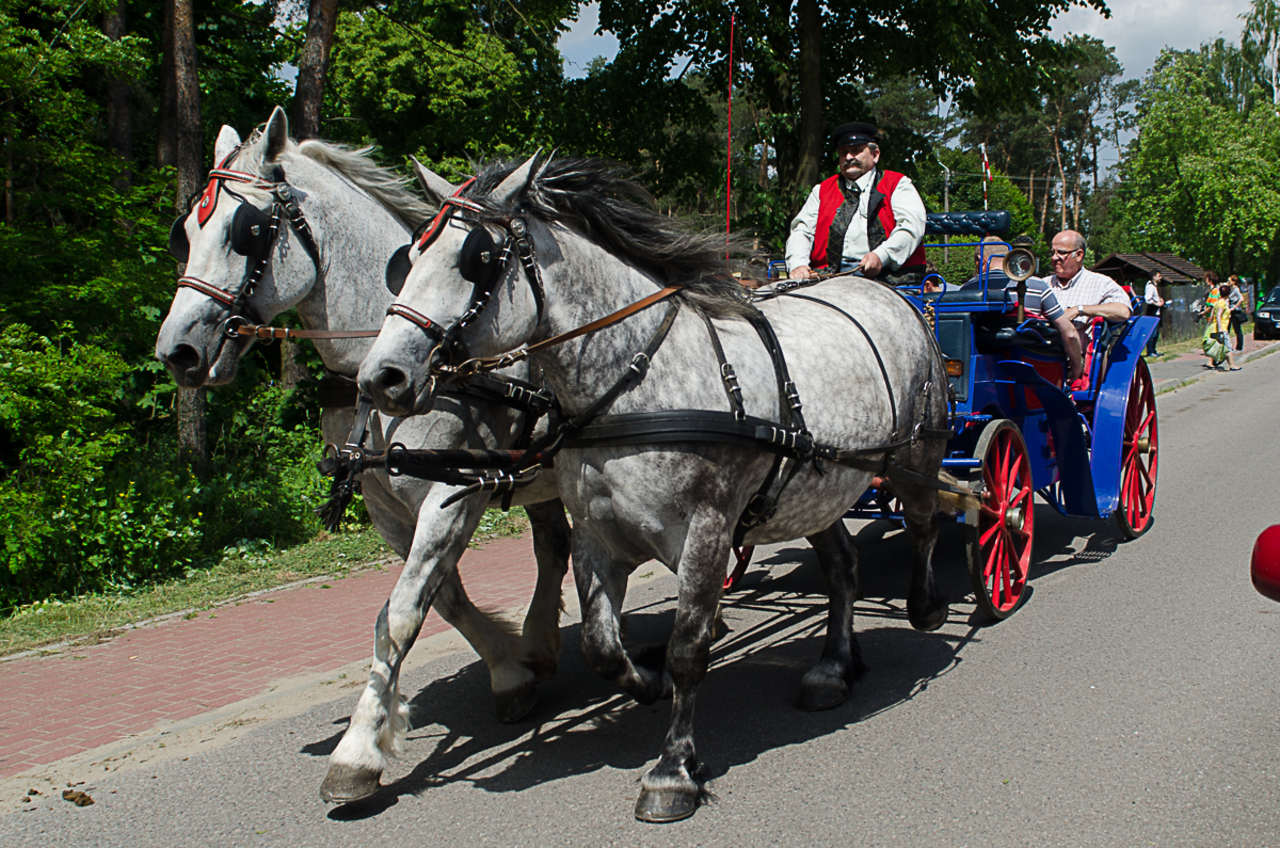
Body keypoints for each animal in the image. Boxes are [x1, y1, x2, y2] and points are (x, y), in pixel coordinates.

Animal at [151, 109, 570, 809]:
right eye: (186, 232)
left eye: (247, 230)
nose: (177, 352)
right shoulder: (388, 511)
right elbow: (439, 600)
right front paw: (510, 672)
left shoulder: (453, 494)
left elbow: (400, 614)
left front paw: (356, 753)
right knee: (554, 550)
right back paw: (540, 644)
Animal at [358, 157, 952, 824]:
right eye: (412, 256)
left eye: (477, 258)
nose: (382, 377)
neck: (635, 383)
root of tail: (883, 291)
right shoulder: (597, 536)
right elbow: (602, 646)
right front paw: (646, 682)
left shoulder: (707, 534)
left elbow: (688, 649)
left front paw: (672, 771)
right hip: (814, 486)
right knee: (843, 567)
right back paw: (833, 666)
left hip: (915, 455)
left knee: (926, 520)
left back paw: (927, 607)